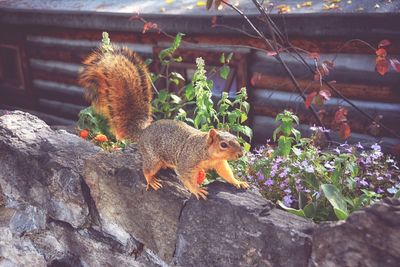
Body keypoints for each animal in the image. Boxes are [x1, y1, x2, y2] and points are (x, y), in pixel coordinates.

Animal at [78, 46, 248, 200]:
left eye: (237, 140)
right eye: (223, 145)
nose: (240, 154)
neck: (205, 150)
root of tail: (143, 132)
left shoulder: (219, 163)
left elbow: (226, 172)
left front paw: (238, 182)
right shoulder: (187, 162)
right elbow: (186, 177)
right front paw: (197, 190)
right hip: (153, 158)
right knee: (146, 170)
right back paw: (151, 180)